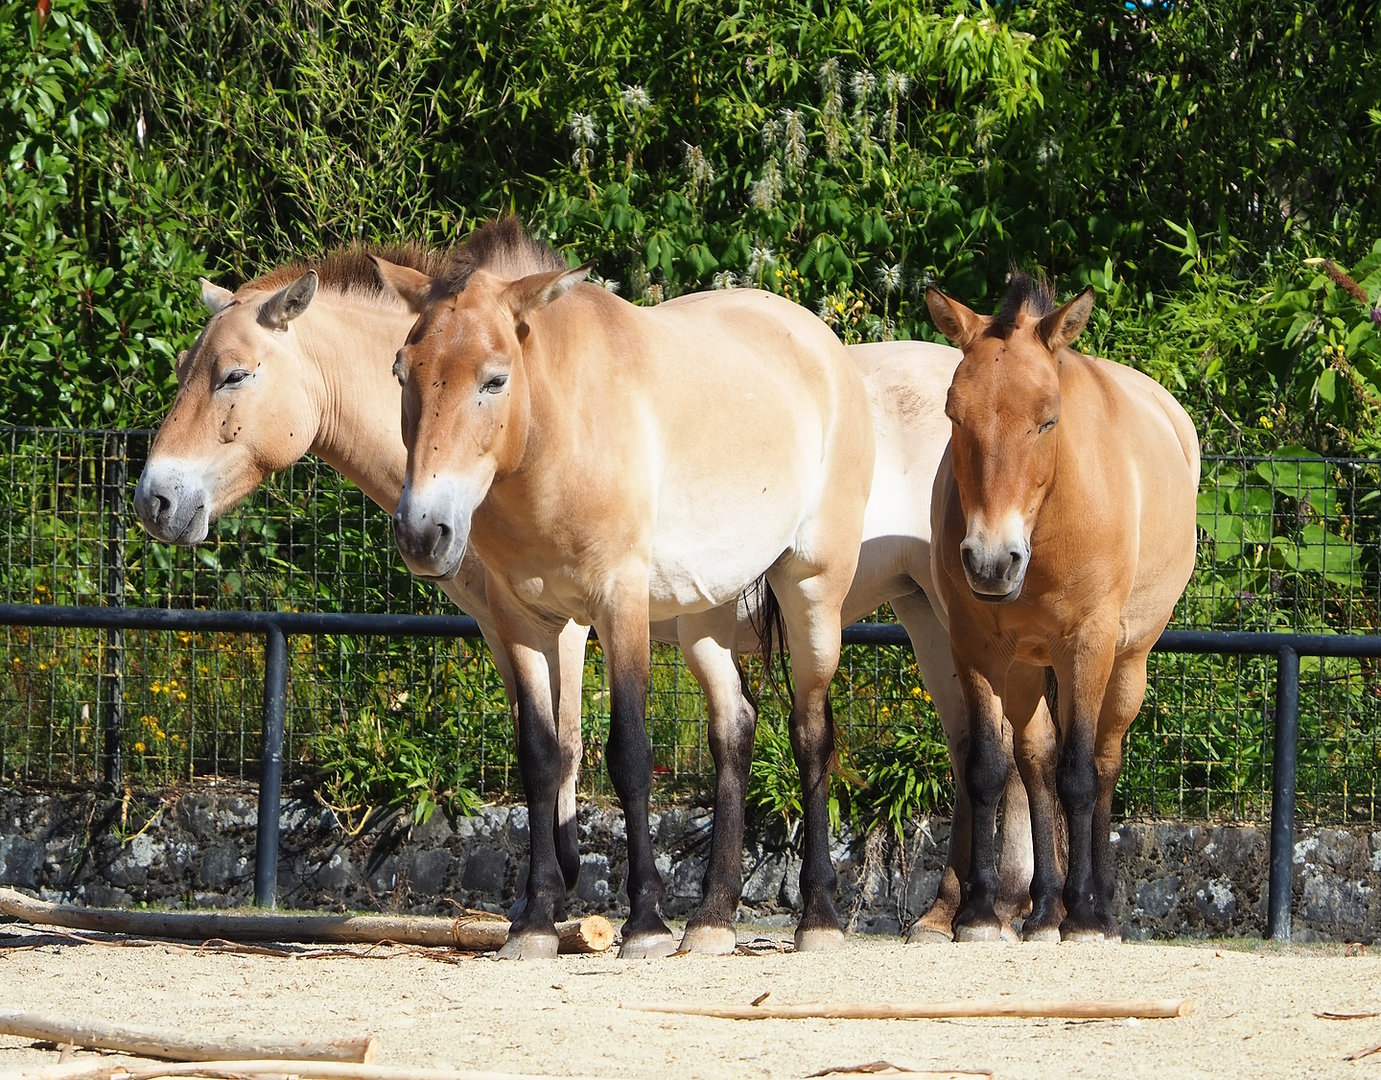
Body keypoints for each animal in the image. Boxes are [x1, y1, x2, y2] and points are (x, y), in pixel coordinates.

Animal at [925, 273, 1199, 941]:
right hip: (1027, 666)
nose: (990, 562)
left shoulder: (1088, 645)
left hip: (1124, 664)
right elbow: (990, 768)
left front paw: (1087, 915)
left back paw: (1095, 904)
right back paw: (1045, 906)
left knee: (1102, 761)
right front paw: (978, 912)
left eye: (1047, 420)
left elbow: (1080, 775)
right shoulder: (975, 647)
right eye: (954, 416)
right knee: (1035, 761)